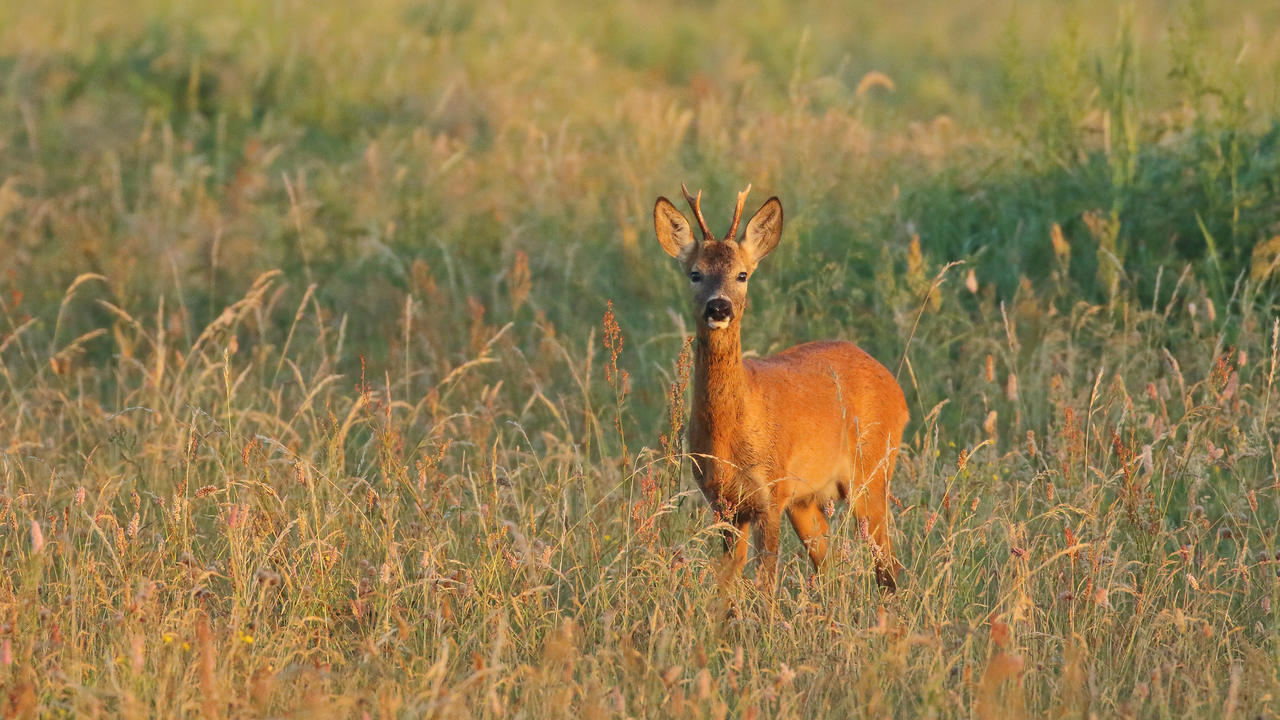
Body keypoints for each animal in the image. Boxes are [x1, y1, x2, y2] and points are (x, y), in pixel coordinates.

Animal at [650, 180, 911, 589]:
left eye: (742, 274)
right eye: (695, 273)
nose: (719, 307)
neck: (731, 431)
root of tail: (896, 390)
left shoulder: (771, 492)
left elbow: (765, 582)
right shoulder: (723, 503)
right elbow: (727, 583)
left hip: (872, 470)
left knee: (888, 565)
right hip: (808, 499)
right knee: (828, 562)